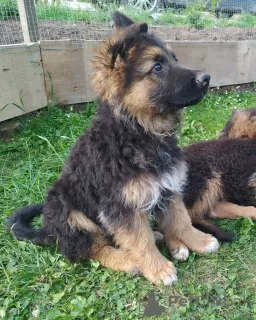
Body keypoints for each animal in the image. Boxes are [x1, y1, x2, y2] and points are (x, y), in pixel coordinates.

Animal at [6, 11, 218, 284]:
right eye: (157, 67)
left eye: (174, 59)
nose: (206, 78)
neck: (137, 132)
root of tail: (48, 231)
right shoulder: (121, 204)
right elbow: (139, 238)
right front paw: (157, 268)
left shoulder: (167, 186)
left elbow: (180, 219)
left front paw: (199, 241)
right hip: (67, 209)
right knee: (89, 247)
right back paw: (128, 260)